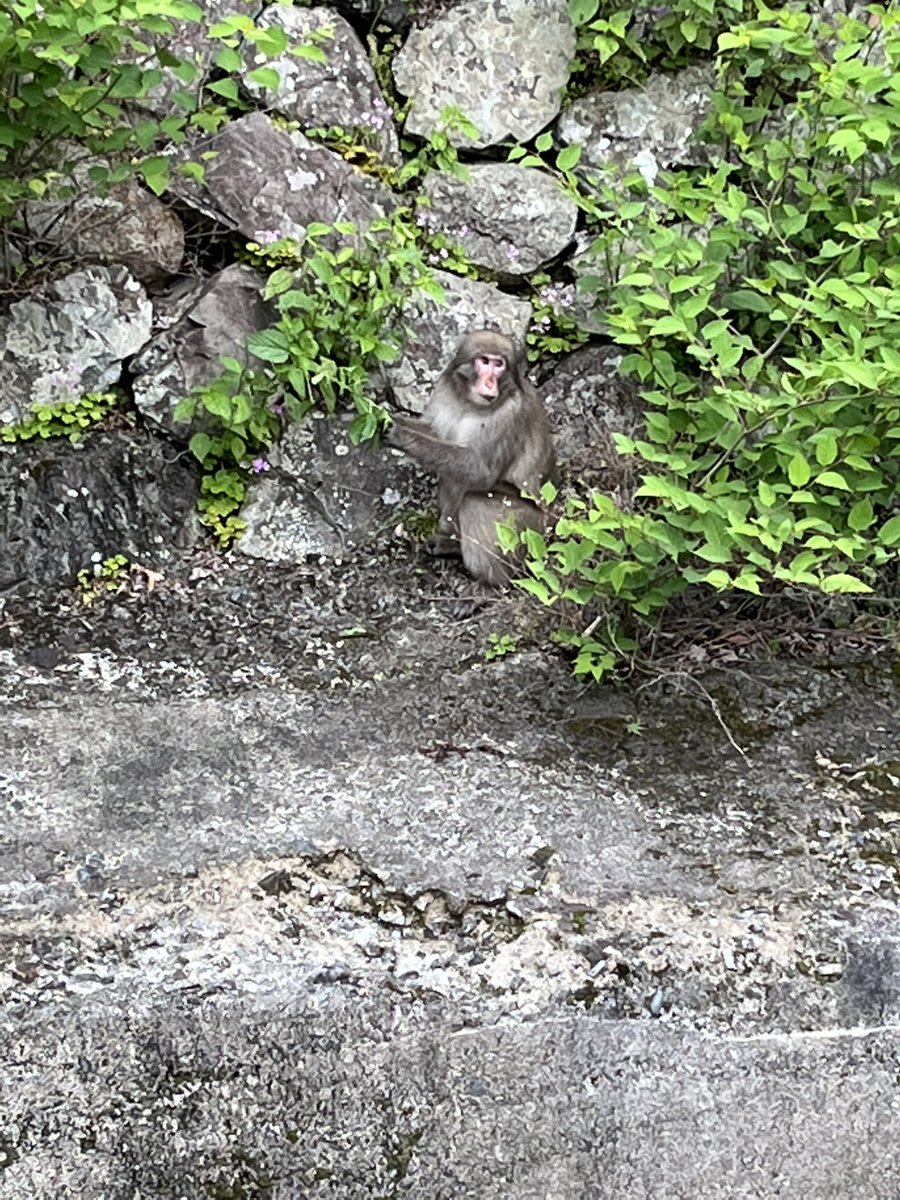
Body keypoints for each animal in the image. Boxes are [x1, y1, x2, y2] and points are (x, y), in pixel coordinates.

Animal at [387, 329, 556, 606]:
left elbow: (480, 471)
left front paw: (402, 436)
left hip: (532, 534)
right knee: (450, 478)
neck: (471, 403)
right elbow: (435, 432)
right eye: (484, 361)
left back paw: (490, 585)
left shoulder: (510, 414)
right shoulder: (444, 390)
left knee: (475, 502)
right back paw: (452, 545)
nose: (490, 384)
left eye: (499, 365)